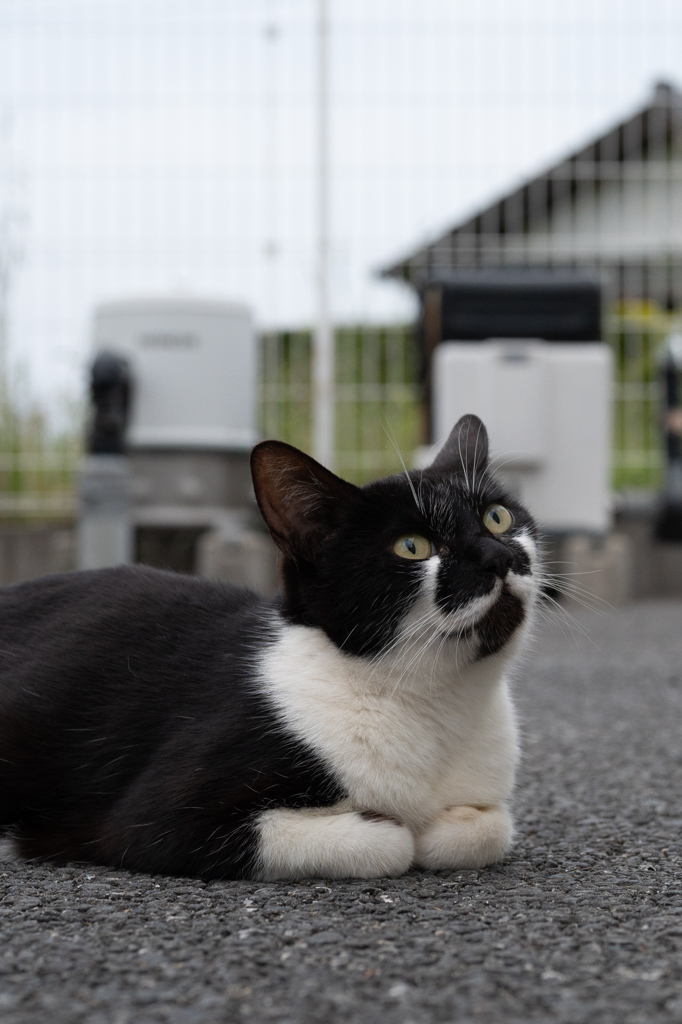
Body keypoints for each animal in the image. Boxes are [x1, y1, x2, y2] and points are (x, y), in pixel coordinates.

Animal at [0, 415, 540, 880]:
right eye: (412, 547)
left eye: (497, 517)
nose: (498, 556)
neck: (437, 701)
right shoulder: (157, 822)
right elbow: (388, 841)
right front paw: (395, 828)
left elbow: (491, 827)